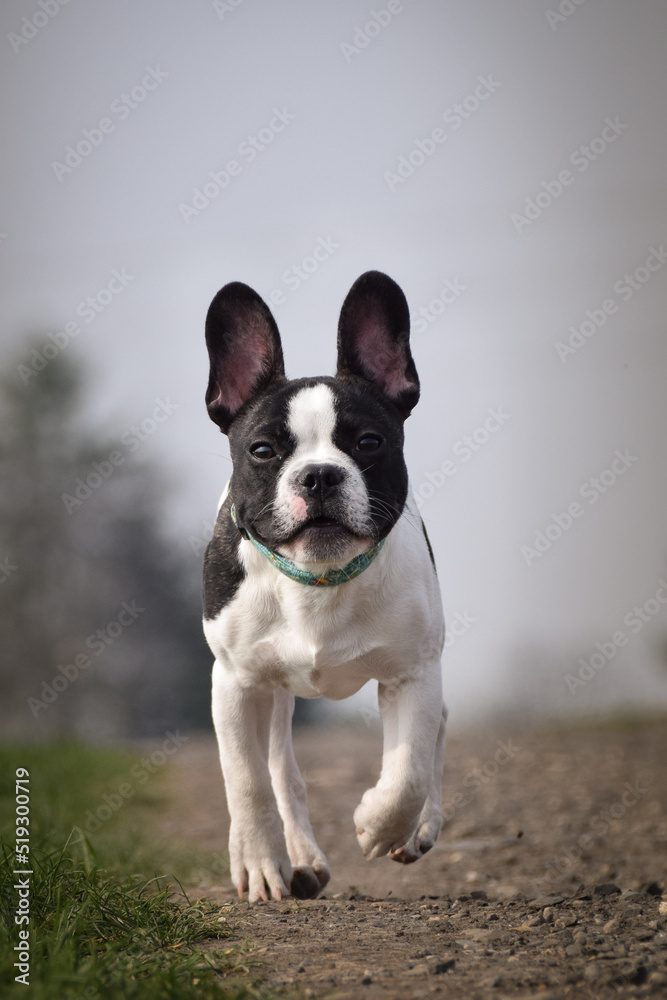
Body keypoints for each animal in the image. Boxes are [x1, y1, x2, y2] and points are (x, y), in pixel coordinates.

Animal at [201, 270, 446, 904]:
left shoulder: (412, 672)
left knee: (436, 734)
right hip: (272, 693)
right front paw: (260, 863)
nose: (318, 475)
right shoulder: (235, 682)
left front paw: (379, 824)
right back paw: (293, 858)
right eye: (263, 450)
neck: (320, 578)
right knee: (280, 772)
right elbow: (246, 780)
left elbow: (409, 770)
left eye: (368, 443)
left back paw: (421, 827)